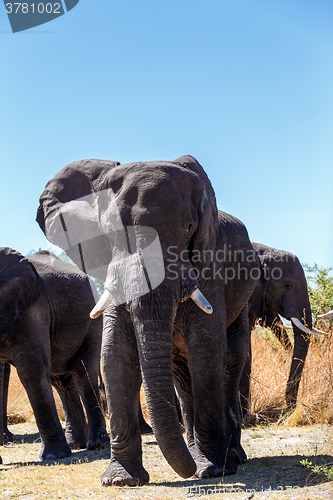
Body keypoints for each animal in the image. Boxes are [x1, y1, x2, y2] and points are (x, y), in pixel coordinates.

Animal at [0, 248, 109, 462]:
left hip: (91, 321)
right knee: (61, 381)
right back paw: (76, 445)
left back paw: (96, 444)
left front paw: (53, 457)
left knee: (84, 374)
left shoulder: (31, 310)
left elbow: (31, 371)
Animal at [37, 155, 260, 484]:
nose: (189, 473)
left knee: (231, 359)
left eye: (189, 227)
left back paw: (230, 457)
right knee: (181, 371)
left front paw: (212, 470)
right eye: (110, 231)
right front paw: (121, 479)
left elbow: (206, 349)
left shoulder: (210, 262)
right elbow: (114, 355)